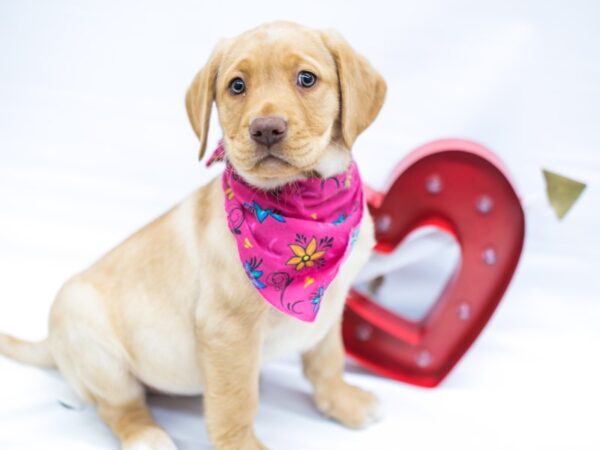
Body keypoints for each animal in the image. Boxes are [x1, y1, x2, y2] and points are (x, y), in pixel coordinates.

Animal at [0, 22, 384, 450]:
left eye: (306, 79)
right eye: (237, 86)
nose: (266, 129)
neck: (301, 202)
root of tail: (51, 342)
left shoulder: (332, 304)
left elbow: (327, 359)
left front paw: (342, 401)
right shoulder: (226, 328)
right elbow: (235, 400)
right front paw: (241, 444)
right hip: (92, 341)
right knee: (119, 407)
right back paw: (146, 435)